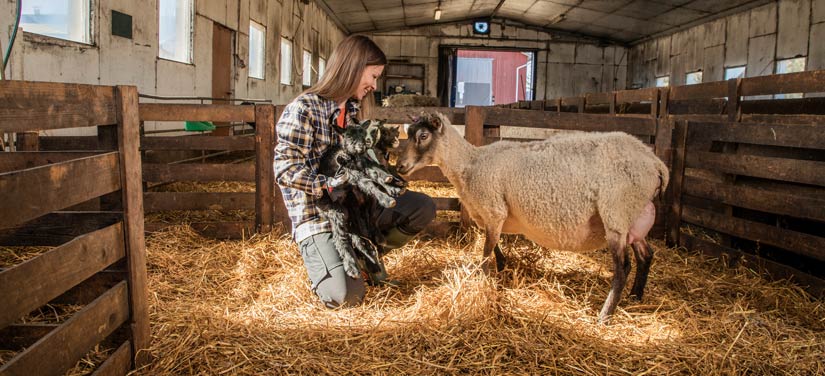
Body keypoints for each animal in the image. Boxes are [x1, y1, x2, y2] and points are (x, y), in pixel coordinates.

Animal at [394, 112, 668, 324]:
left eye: (423, 136)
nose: (399, 167)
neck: (469, 164)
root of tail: (655, 162)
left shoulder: (493, 208)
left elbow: (486, 253)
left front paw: (484, 281)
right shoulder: (493, 215)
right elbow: (495, 247)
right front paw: (503, 269)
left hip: (616, 212)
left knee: (623, 267)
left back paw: (605, 315)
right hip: (633, 217)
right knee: (646, 255)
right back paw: (635, 296)